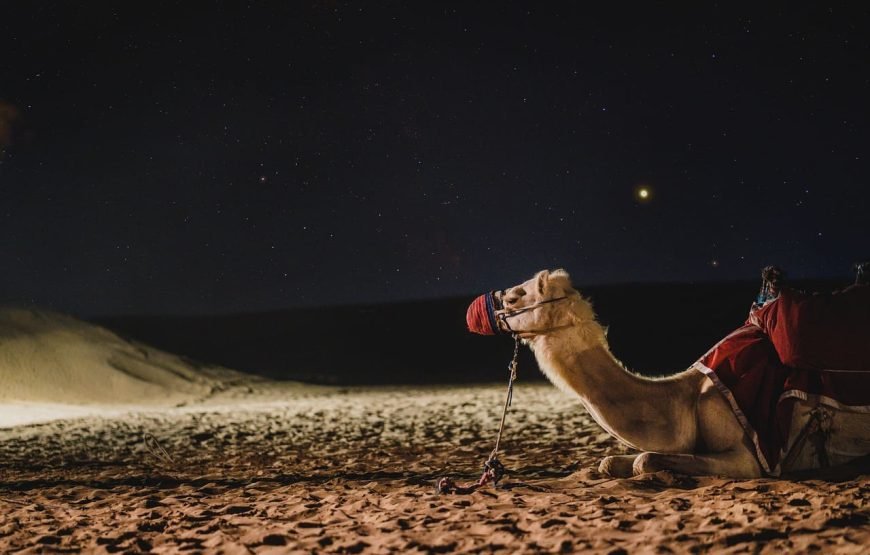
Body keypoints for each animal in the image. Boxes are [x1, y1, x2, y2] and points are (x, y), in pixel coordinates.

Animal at [489, 269, 767, 478]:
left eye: (513, 298)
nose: (492, 306)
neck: (682, 401)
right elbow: (609, 462)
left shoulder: (746, 457)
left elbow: (643, 460)